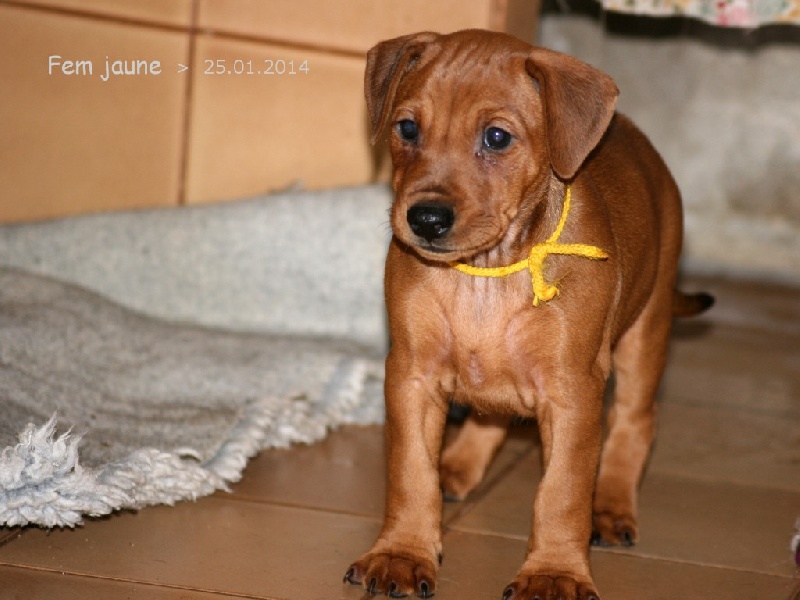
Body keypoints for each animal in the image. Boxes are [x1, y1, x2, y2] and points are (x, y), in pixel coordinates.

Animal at [344, 29, 713, 599]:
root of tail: (632, 135)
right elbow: (410, 473)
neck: (487, 273)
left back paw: (610, 507)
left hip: (647, 327)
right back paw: (456, 468)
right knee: (489, 415)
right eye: (407, 128)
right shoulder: (411, 375)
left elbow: (561, 493)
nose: (425, 219)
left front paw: (554, 572)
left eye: (497, 138)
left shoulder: (572, 392)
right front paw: (402, 553)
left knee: (636, 421)